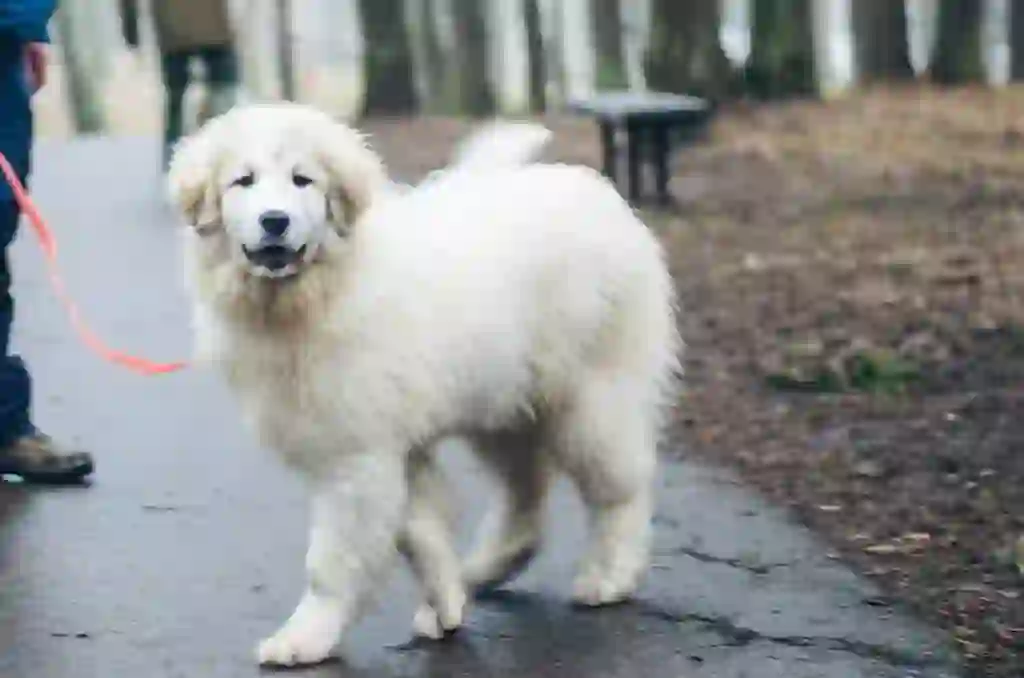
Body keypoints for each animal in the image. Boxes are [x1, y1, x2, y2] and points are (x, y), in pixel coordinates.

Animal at [165, 102, 679, 667]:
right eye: (244, 181)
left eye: (303, 180)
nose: (274, 221)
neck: (320, 291)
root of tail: (601, 194)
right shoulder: (390, 444)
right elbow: (420, 530)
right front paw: (446, 603)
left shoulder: (355, 454)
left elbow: (333, 560)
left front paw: (305, 638)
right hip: (504, 404)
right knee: (526, 497)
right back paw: (481, 571)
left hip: (590, 397)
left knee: (620, 490)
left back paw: (610, 576)